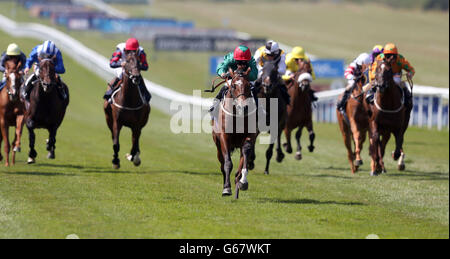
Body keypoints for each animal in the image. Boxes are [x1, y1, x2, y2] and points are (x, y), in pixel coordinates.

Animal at [213, 66, 258, 199]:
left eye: (249, 85)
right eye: (233, 86)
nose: (243, 107)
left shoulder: (250, 135)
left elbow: (246, 152)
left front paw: (243, 181)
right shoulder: (224, 136)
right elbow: (228, 163)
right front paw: (226, 188)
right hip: (217, 144)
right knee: (222, 164)